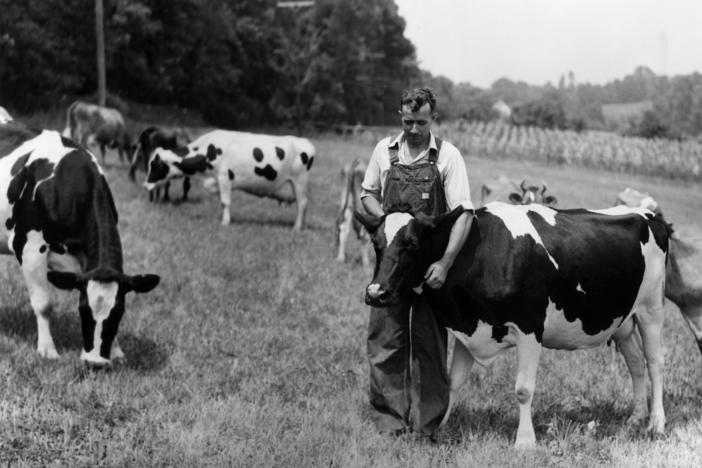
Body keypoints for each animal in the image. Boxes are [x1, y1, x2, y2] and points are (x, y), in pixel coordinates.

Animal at [0, 119, 161, 366]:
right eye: (83, 309)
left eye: (119, 313)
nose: (95, 362)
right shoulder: (30, 248)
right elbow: (43, 305)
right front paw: (47, 349)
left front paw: (116, 352)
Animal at [143, 129, 316, 229]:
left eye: (154, 165)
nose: (145, 185)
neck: (207, 150)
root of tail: (305, 141)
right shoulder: (218, 179)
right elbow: (217, 195)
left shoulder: (225, 176)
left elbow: (225, 201)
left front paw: (225, 222)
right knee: (304, 204)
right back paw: (303, 225)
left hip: (299, 181)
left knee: (302, 203)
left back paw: (297, 227)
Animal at [358, 203, 672, 448]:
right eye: (375, 243)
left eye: (412, 244)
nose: (376, 292)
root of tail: (649, 215)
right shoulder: (469, 329)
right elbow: (453, 383)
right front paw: (438, 430)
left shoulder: (530, 328)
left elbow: (523, 389)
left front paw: (524, 442)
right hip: (622, 320)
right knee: (636, 363)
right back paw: (635, 418)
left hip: (651, 309)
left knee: (655, 362)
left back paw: (656, 423)